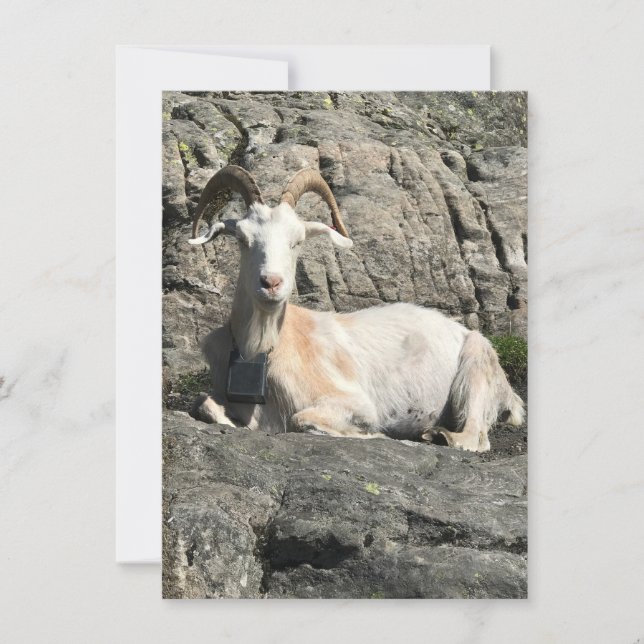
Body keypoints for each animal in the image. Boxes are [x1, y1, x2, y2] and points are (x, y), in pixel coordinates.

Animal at [187, 165, 524, 452]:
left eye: (297, 241)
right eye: (242, 239)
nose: (271, 283)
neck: (263, 350)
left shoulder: (356, 403)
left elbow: (302, 420)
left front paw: (376, 435)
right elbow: (204, 403)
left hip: (476, 367)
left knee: (475, 437)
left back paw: (439, 435)